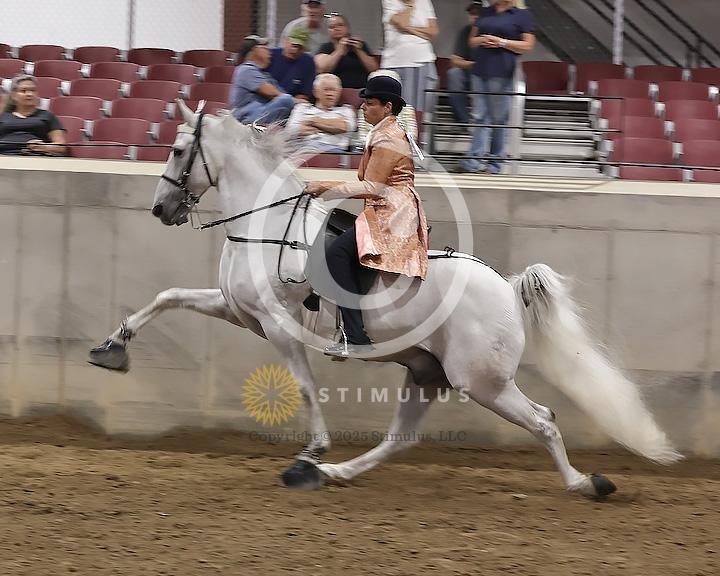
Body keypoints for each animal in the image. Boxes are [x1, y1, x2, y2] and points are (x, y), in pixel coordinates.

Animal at [89, 100, 681, 498]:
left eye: (178, 150)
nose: (161, 210)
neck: (265, 226)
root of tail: (507, 289)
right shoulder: (239, 310)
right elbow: (168, 296)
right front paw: (110, 349)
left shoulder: (278, 325)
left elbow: (305, 387)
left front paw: (313, 450)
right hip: (426, 373)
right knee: (402, 438)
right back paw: (332, 474)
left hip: (481, 382)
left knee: (543, 420)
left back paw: (585, 484)